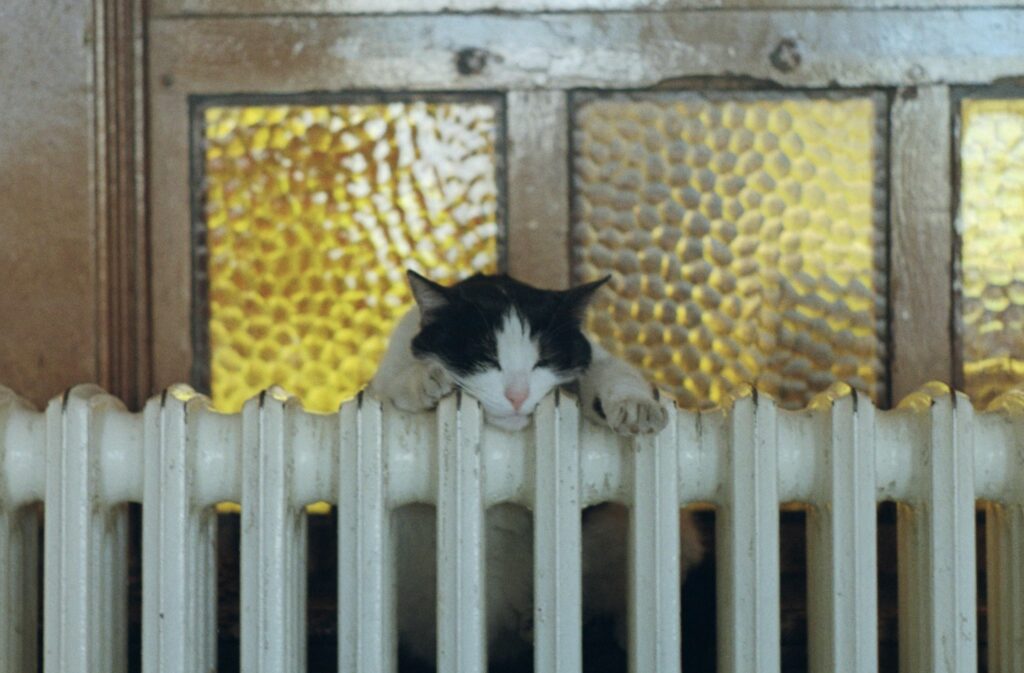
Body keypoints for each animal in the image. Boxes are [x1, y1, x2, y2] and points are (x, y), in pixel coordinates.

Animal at [366, 272, 704, 667]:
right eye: (486, 358)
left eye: (543, 360)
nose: (517, 396)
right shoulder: (382, 391)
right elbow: (393, 386)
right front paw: (425, 379)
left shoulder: (592, 355)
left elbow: (614, 372)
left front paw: (635, 404)